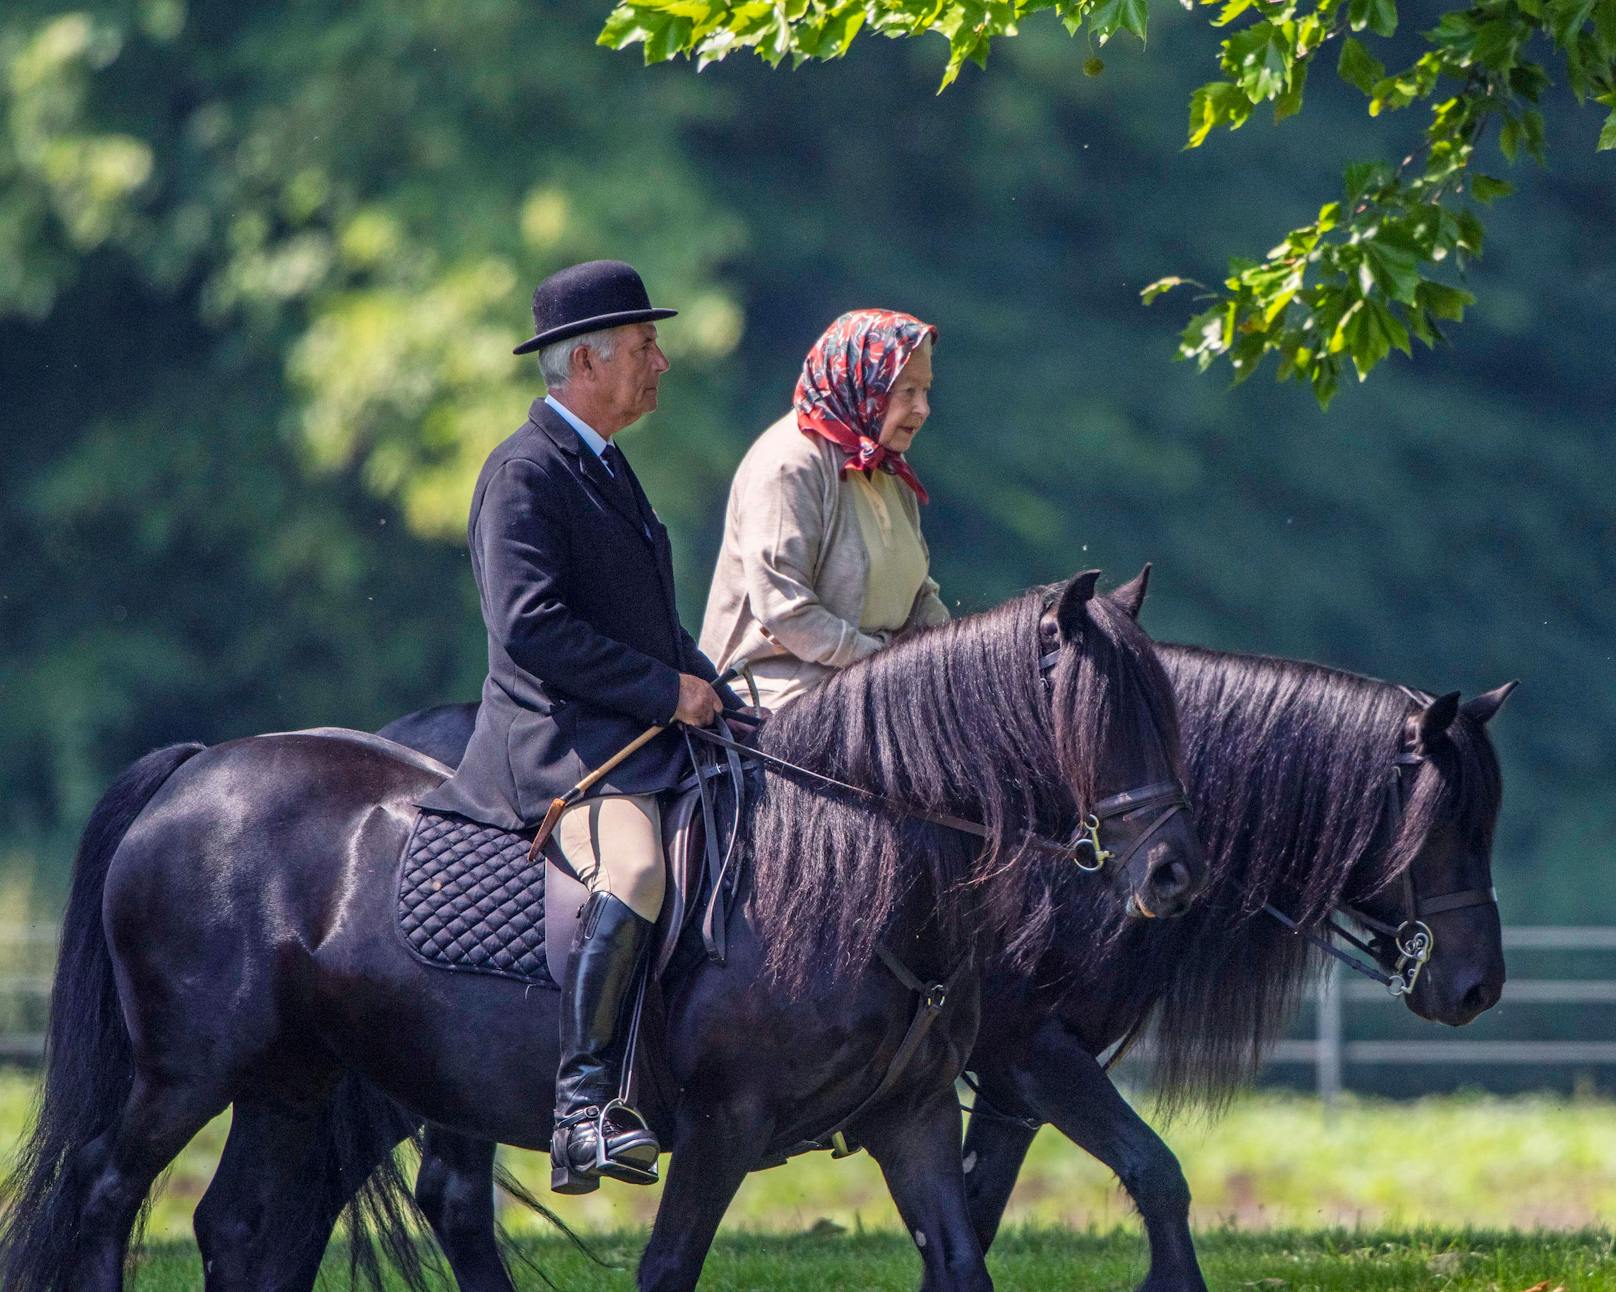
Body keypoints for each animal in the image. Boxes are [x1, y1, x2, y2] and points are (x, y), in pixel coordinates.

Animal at [0, 571, 1202, 1285]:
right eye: (1103, 712)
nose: (1175, 872)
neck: (853, 867)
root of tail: (197, 768)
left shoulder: (909, 1117)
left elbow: (963, 1261)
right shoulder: (721, 1126)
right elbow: (667, 1268)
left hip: (298, 1079)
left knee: (247, 1226)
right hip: (190, 1069)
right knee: (104, 1190)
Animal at [366, 633, 1512, 1279]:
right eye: (1446, 819)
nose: (1476, 984)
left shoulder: (987, 1085)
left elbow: (978, 1213)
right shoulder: (1028, 1053)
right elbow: (1156, 1173)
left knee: (452, 1199)